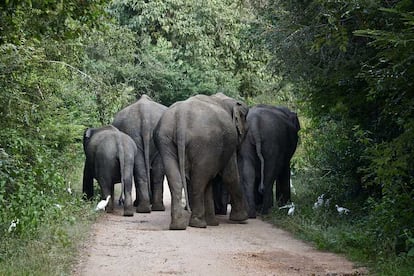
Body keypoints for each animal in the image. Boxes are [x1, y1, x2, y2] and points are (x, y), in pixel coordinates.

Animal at [153, 94, 247, 230]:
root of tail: (181, 116)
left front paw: (213, 223)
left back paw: (178, 226)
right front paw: (241, 218)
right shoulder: (229, 145)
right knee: (199, 180)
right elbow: (230, 175)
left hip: (165, 139)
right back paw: (198, 224)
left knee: (176, 179)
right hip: (204, 142)